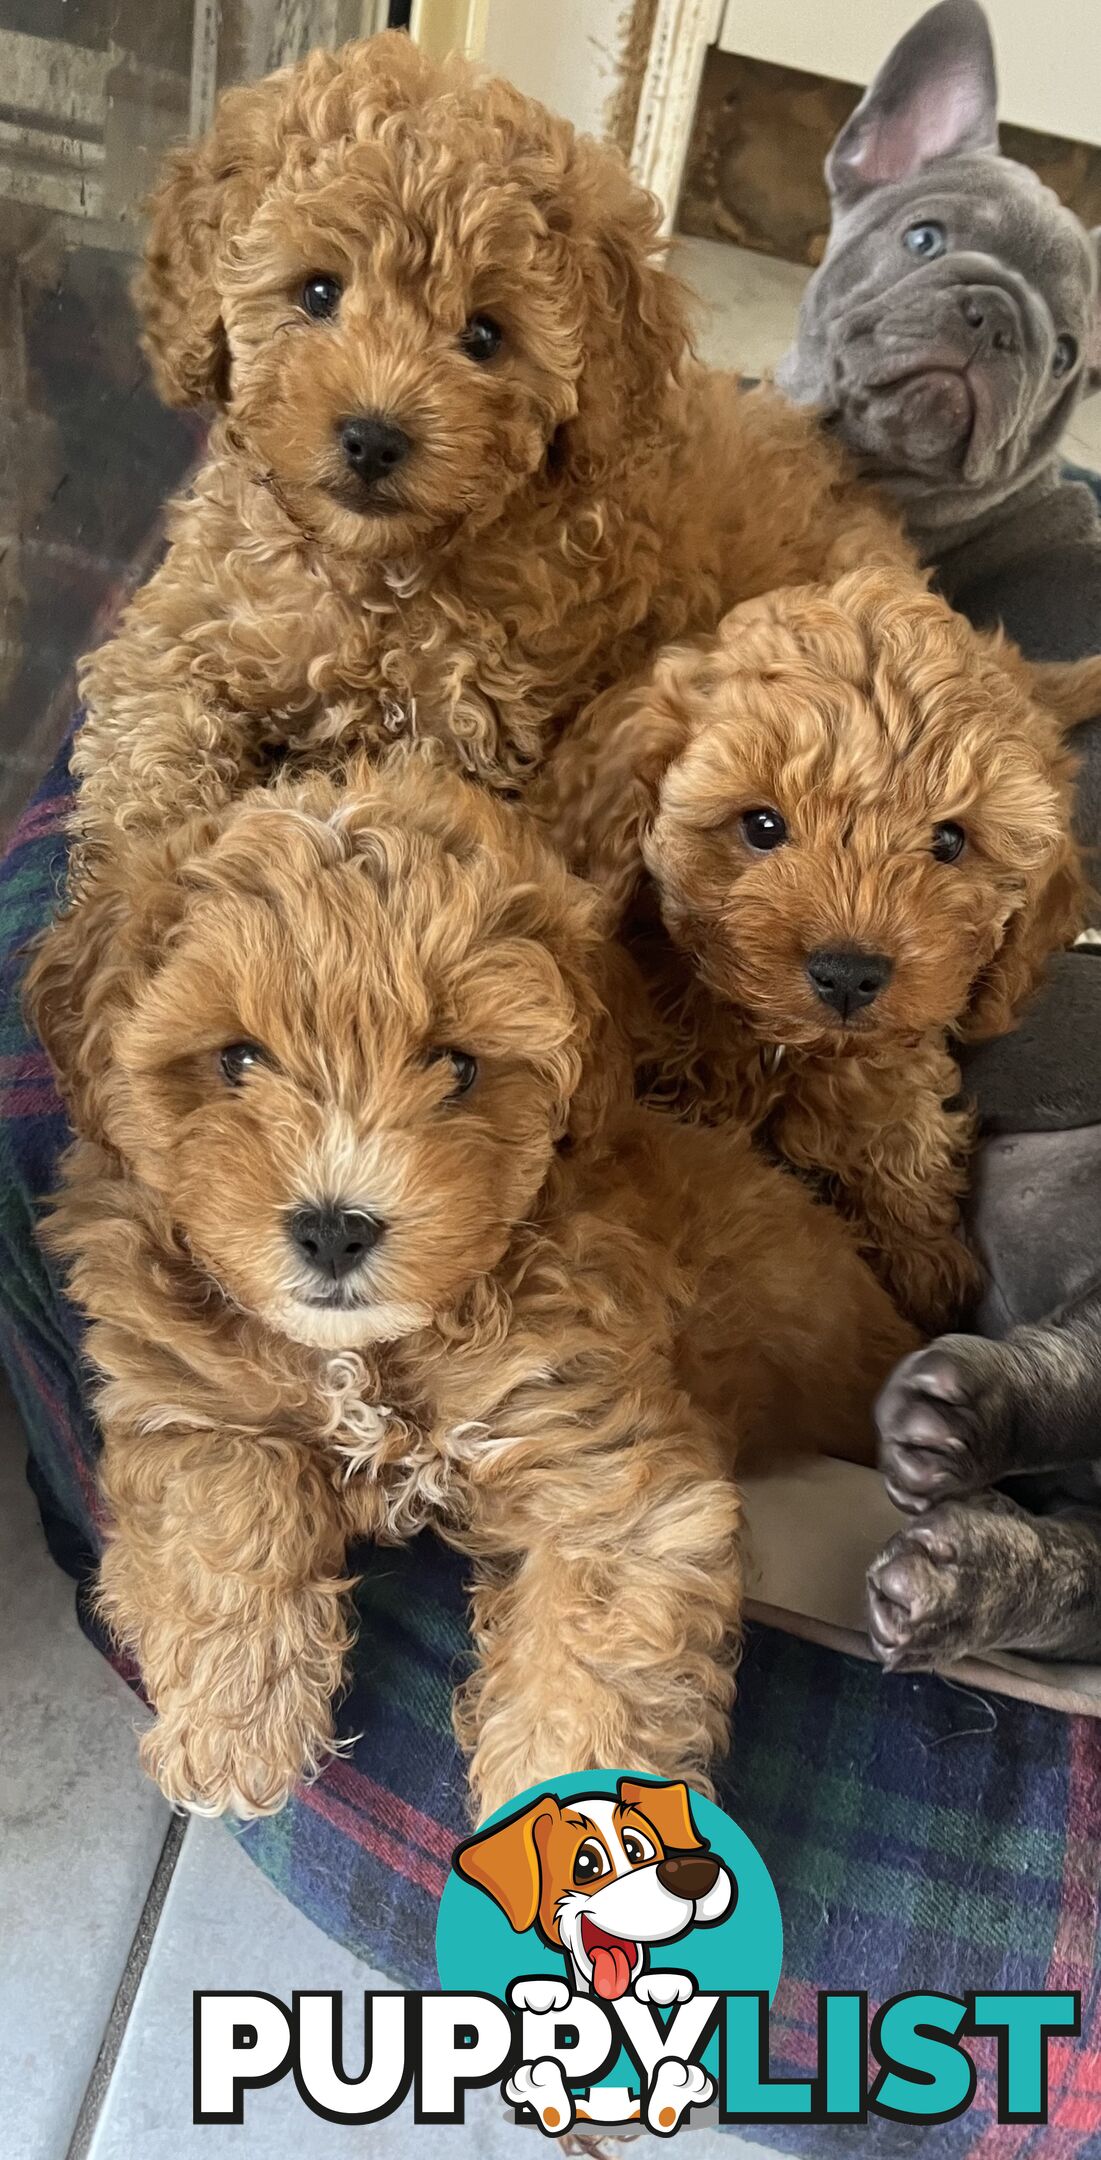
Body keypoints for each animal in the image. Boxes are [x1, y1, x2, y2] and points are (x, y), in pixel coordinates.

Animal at [30, 751, 915, 1814]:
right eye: (237, 1058)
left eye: (456, 1067)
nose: (334, 1228)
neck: (369, 1357)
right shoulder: (185, 1400)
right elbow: (224, 1516)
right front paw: (234, 1729)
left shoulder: (603, 1461)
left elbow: (597, 1656)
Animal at [72, 31, 906, 859]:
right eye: (317, 292)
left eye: (483, 336)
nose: (373, 438)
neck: (371, 577)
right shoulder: (180, 626)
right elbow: (147, 743)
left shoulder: (468, 729)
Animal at [541, 565, 1092, 1330]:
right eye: (762, 825)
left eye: (950, 841)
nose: (848, 974)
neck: (774, 1047)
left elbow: (896, 1116)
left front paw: (922, 1257)